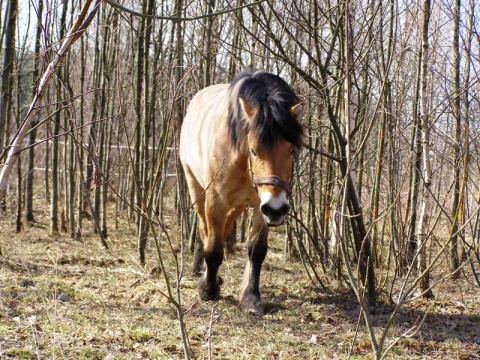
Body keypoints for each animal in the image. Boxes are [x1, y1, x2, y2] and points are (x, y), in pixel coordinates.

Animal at [180, 69, 304, 314]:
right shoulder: (216, 201)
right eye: (254, 150)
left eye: (292, 150)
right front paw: (208, 290)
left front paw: (251, 298)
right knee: (205, 231)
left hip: (239, 204)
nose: (277, 209)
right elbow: (213, 249)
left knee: (227, 228)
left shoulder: (260, 205)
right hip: (196, 189)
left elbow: (257, 251)